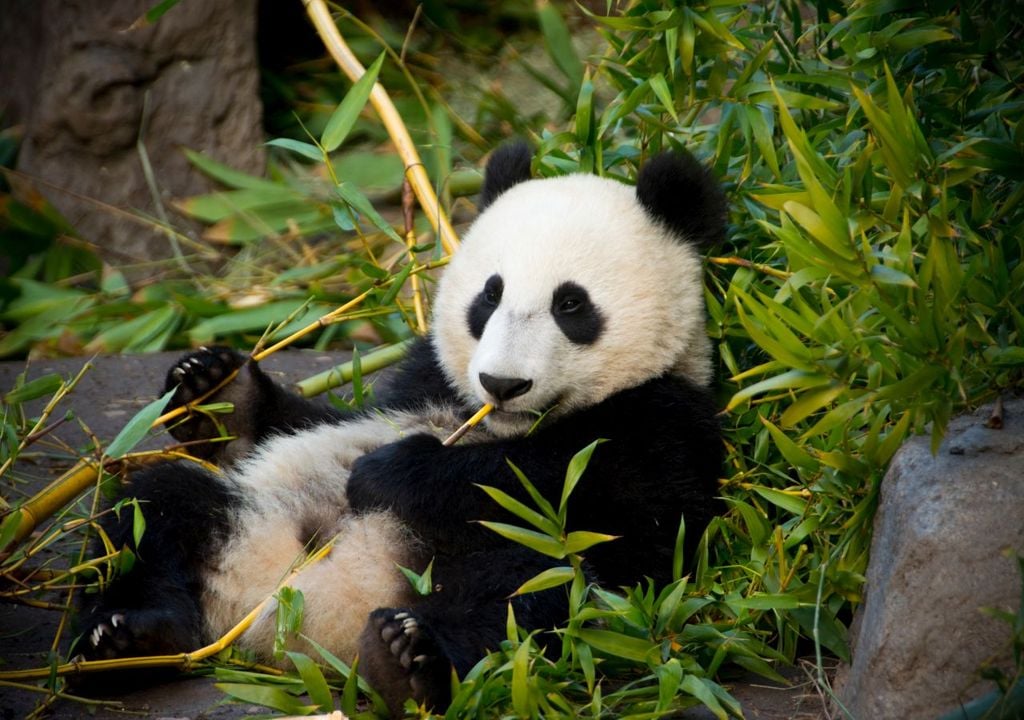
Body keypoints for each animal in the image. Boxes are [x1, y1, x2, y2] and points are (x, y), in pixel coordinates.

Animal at [77, 143, 729, 716]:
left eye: (571, 305)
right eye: (489, 296)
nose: (501, 382)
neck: (504, 424)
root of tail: (308, 630)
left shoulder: (668, 417)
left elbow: (594, 492)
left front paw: (395, 472)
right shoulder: (423, 380)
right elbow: (329, 419)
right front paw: (217, 390)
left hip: (522, 561)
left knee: (526, 591)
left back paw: (407, 661)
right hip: (248, 517)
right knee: (153, 513)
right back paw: (127, 642)